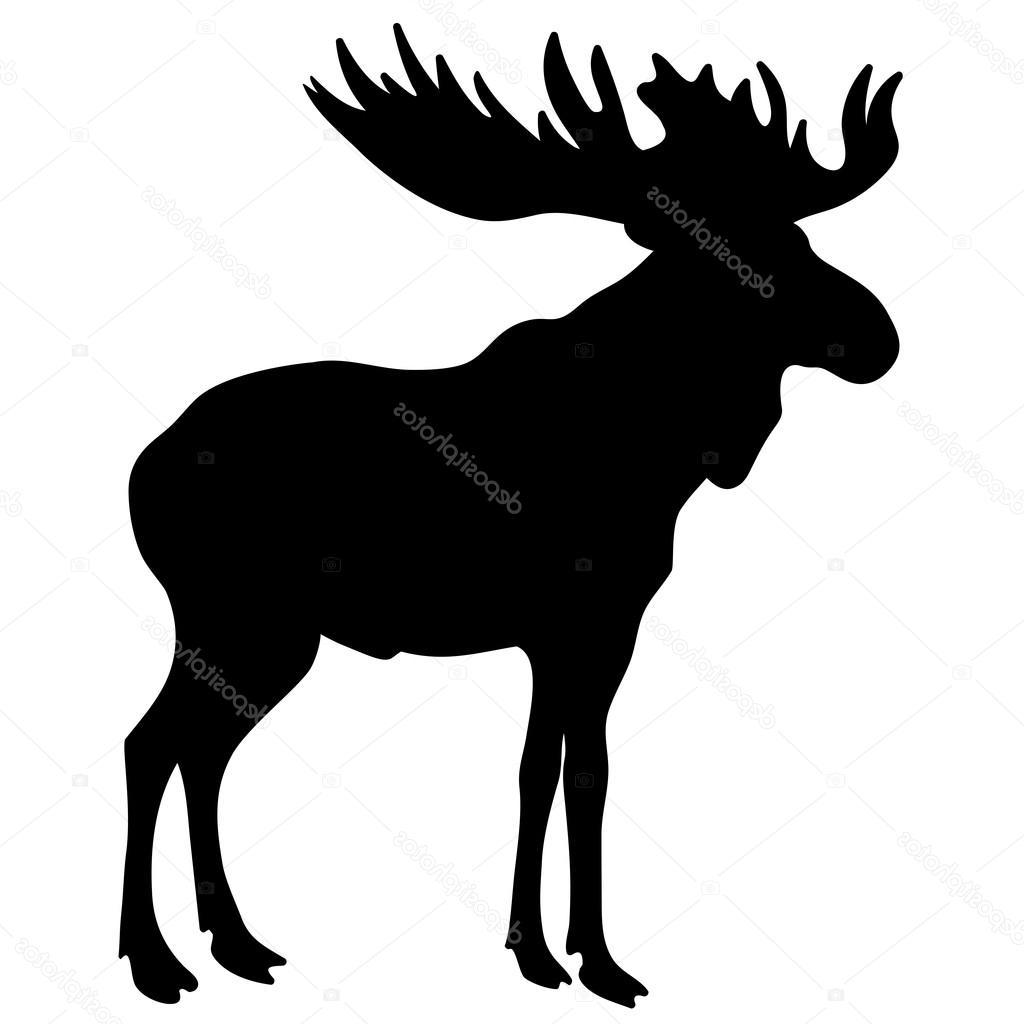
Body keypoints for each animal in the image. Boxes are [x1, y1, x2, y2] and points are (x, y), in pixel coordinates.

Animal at [118, 24, 901, 1008]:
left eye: (796, 233)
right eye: (734, 254)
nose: (877, 335)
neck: (663, 449)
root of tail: (140, 470)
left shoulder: (589, 627)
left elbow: (571, 772)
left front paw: (577, 956)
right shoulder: (574, 619)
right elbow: (557, 770)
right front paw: (557, 957)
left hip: (259, 637)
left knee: (201, 752)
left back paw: (236, 943)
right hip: (240, 618)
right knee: (152, 744)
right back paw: (155, 960)